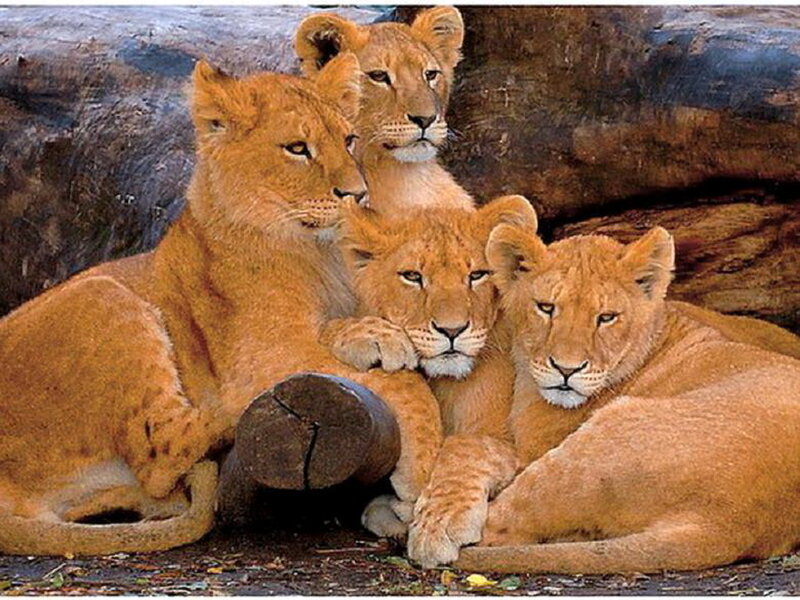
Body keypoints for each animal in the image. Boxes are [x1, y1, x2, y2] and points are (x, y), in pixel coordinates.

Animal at [0, 54, 444, 555]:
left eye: (348, 140)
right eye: (297, 149)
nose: (357, 194)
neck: (318, 253)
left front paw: (371, 333)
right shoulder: (264, 352)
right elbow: (408, 386)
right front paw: (421, 471)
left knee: (158, 487)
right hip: (102, 294)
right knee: (164, 448)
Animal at [409, 223, 800, 574]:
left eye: (606, 317)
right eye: (546, 308)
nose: (566, 370)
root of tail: (729, 525)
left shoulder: (529, 449)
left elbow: (467, 445)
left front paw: (436, 525)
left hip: (594, 446)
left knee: (501, 529)